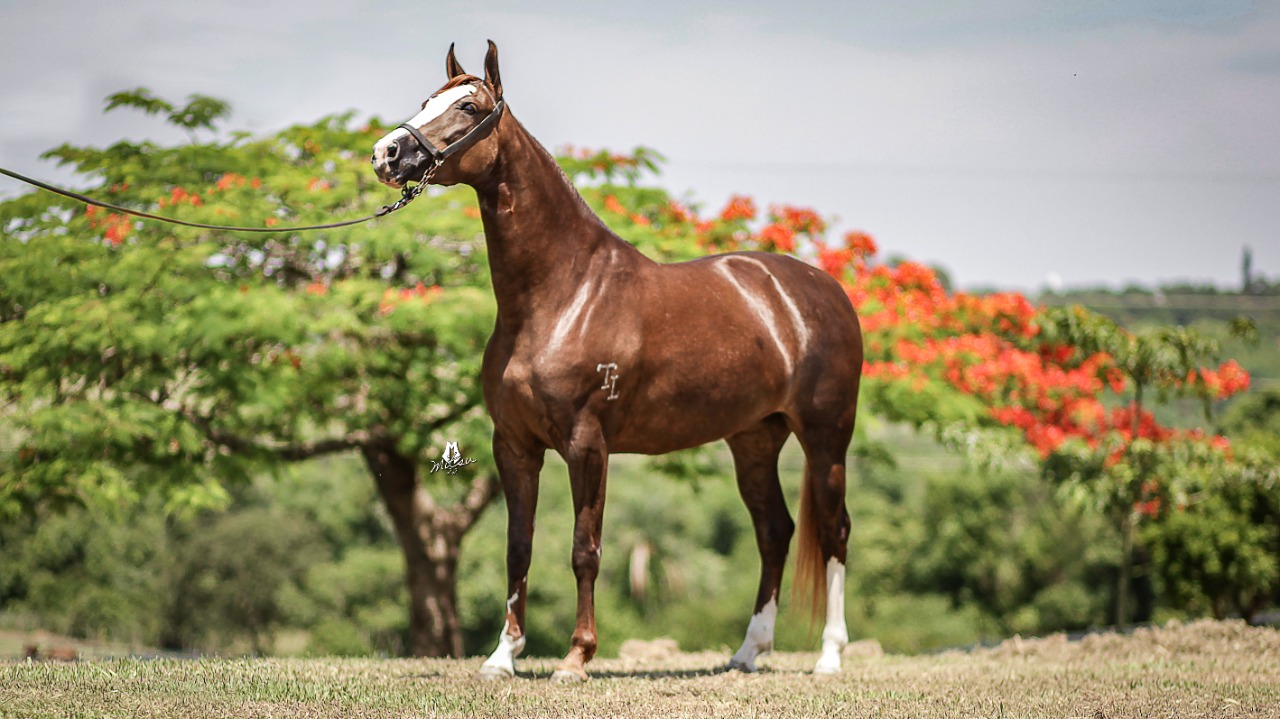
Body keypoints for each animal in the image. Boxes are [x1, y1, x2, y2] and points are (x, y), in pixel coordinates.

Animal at [373, 41, 865, 680]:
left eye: (468, 106)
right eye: (426, 101)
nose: (387, 153)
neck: (564, 293)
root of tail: (824, 290)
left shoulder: (588, 443)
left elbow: (585, 550)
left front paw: (576, 657)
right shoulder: (514, 445)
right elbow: (518, 546)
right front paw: (503, 656)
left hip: (826, 437)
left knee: (833, 530)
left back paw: (829, 655)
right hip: (755, 439)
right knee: (774, 531)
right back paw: (747, 651)